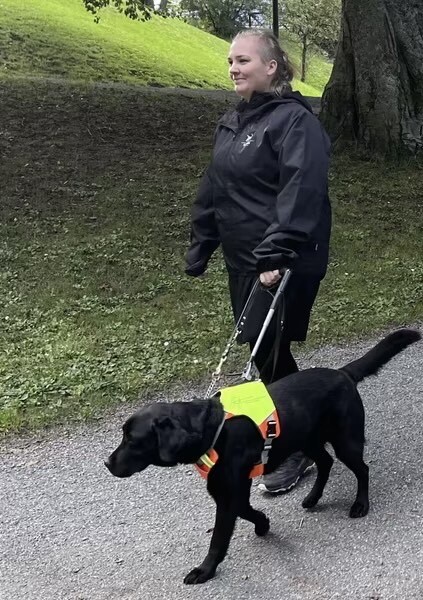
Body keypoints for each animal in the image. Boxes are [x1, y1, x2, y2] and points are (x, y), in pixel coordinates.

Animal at [105, 330, 420, 584]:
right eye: (123, 435)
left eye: (132, 440)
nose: (107, 463)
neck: (212, 430)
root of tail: (343, 373)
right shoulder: (232, 490)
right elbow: (247, 511)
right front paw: (264, 524)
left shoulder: (228, 493)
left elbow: (219, 538)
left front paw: (205, 571)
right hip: (306, 440)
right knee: (326, 462)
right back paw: (313, 498)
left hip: (345, 440)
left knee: (362, 469)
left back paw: (360, 504)